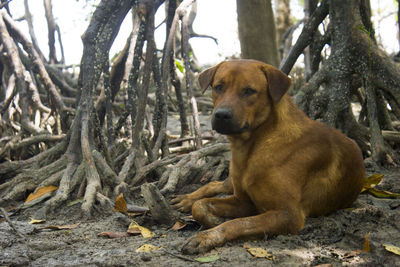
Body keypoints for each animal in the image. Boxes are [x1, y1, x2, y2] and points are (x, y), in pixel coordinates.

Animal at [172, 59, 366, 254]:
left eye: (249, 91)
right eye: (219, 87)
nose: (221, 115)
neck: (254, 146)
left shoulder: (288, 214)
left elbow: (237, 223)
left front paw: (207, 235)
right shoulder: (244, 201)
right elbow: (200, 205)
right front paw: (209, 219)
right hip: (233, 182)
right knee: (215, 184)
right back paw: (186, 198)